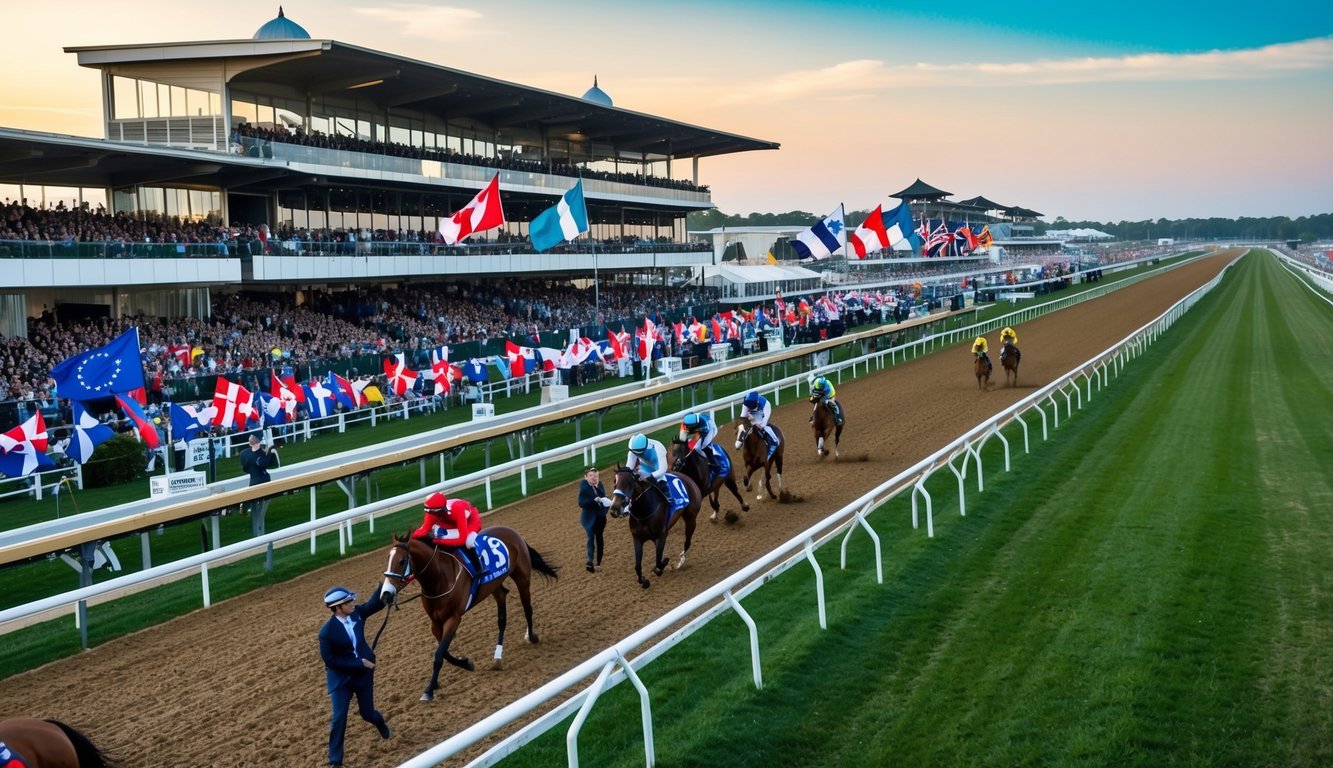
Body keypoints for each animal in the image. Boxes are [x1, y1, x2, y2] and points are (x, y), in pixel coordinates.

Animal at [381, 528, 557, 704]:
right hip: (494, 586)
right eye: (388, 559)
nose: (386, 594)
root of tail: (511, 531)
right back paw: (497, 657)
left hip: (522, 579)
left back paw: (531, 636)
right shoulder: (435, 623)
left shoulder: (454, 618)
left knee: (527, 609)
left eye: (402, 561)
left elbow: (439, 654)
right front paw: (464, 663)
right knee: (502, 616)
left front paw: (429, 691)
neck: (439, 578)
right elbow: (443, 652)